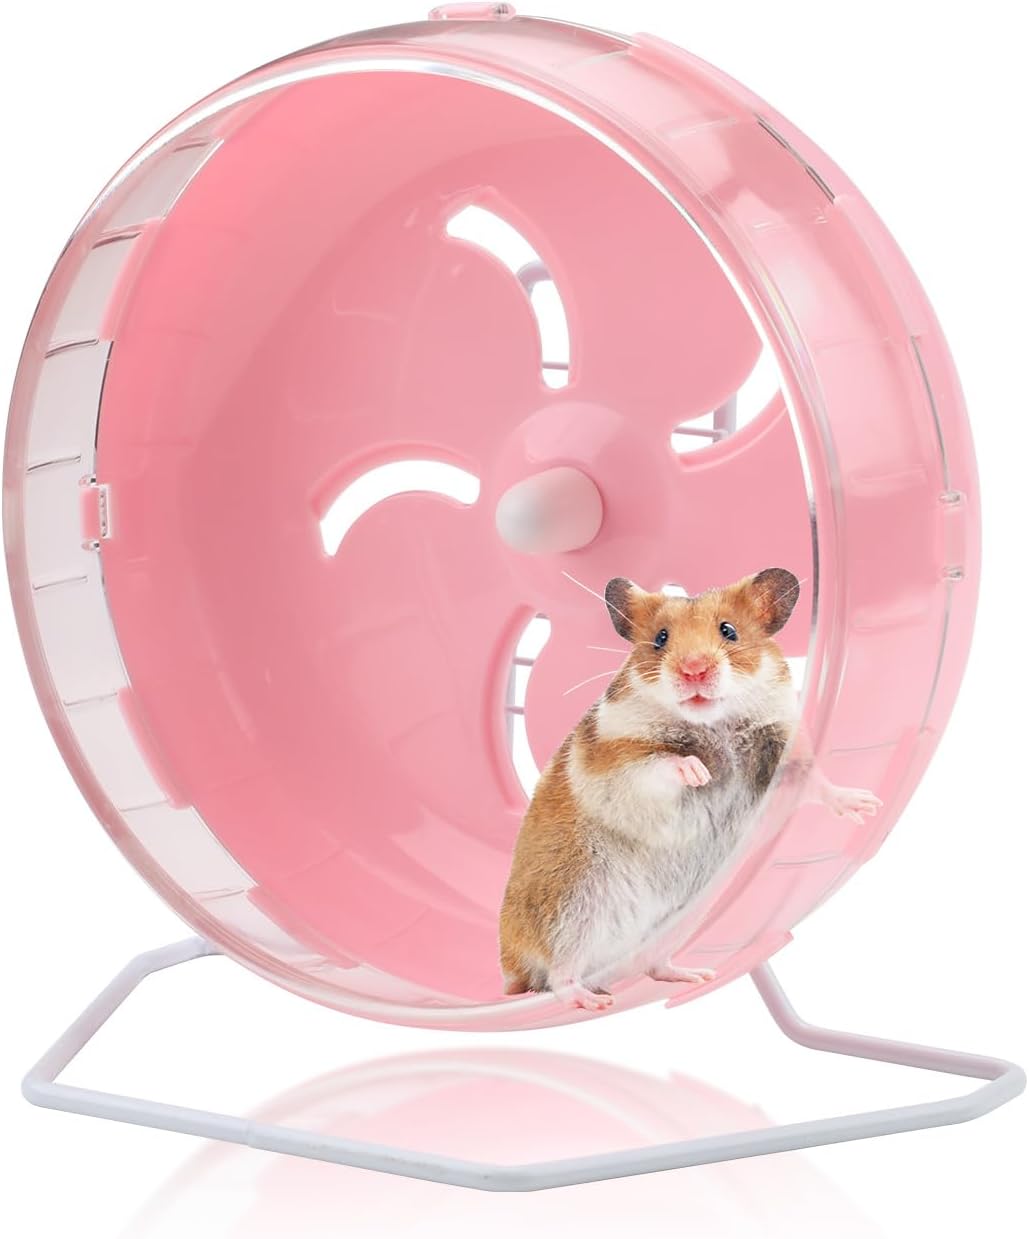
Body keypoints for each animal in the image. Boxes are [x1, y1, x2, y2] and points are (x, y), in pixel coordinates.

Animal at [498, 568, 880, 1011]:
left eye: (729, 631)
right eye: (660, 638)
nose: (693, 670)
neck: (714, 723)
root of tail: (511, 964)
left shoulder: (783, 753)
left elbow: (817, 782)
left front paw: (866, 805)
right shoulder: (617, 761)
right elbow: (661, 764)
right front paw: (699, 772)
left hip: (673, 924)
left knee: (651, 967)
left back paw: (696, 975)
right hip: (571, 909)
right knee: (558, 976)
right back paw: (592, 1000)